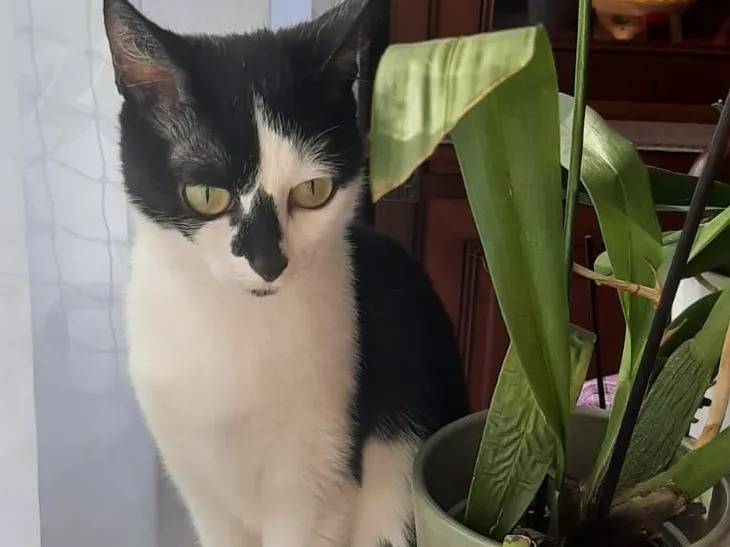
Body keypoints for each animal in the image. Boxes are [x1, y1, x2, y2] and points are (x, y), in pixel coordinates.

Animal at [103, 0, 469, 545]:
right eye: (207, 195)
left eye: (313, 191)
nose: (268, 262)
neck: (228, 326)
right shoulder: (201, 490)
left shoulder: (316, 486)